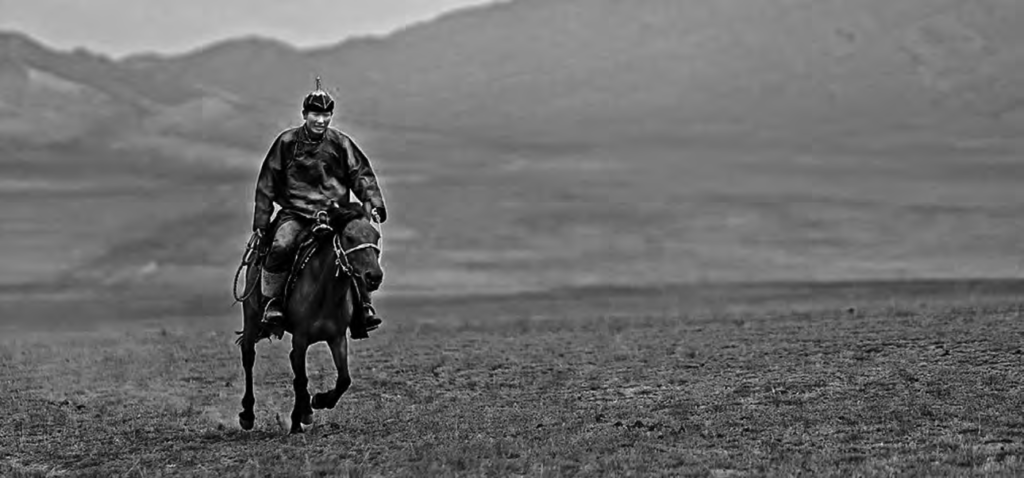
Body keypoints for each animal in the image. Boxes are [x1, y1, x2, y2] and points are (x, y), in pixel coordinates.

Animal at [235, 201, 385, 433]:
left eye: (375, 237)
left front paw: (319, 401)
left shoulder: (337, 337)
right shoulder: (301, 337)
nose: (374, 276)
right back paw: (248, 414)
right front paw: (296, 422)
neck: (326, 292)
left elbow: (344, 379)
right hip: (251, 319)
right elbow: (301, 379)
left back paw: (306, 409)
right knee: (248, 358)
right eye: (349, 237)